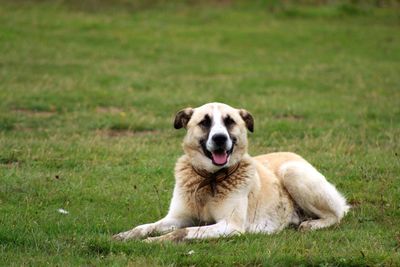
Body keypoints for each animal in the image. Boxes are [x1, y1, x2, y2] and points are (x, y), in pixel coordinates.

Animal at [113, 102, 350, 243]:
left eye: (230, 122)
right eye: (204, 122)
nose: (219, 138)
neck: (211, 179)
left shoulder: (230, 225)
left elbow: (181, 232)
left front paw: (154, 242)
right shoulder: (177, 217)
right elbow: (146, 226)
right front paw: (126, 235)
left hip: (292, 172)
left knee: (336, 215)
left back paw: (312, 224)